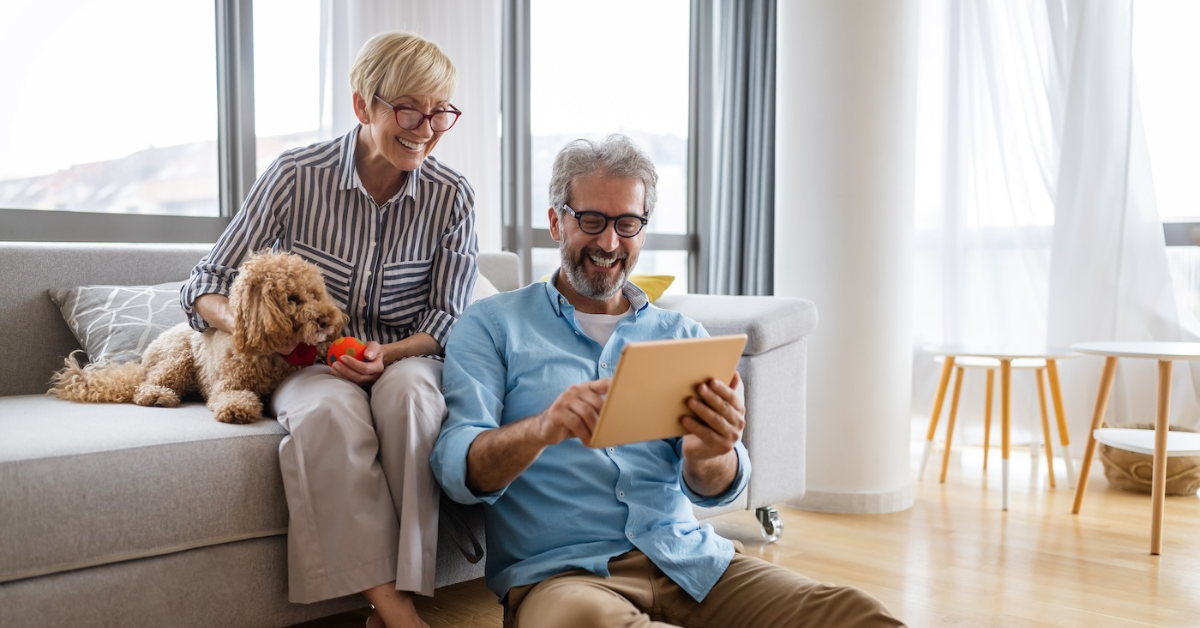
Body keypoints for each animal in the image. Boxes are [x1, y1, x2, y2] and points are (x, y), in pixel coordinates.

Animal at [50, 250, 348, 422]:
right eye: (292, 298)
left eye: (316, 293)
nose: (327, 320)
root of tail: (145, 359)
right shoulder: (227, 384)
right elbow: (231, 396)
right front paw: (237, 409)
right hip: (178, 358)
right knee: (145, 386)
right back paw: (158, 396)